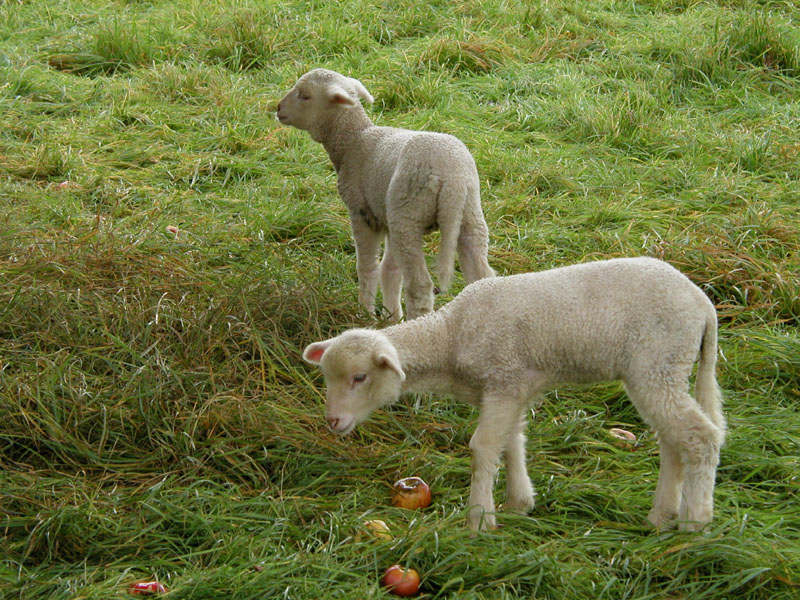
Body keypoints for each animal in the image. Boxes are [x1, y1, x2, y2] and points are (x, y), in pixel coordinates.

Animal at [280, 68, 494, 322]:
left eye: (305, 96)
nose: (278, 109)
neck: (353, 139)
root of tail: (452, 177)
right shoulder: (387, 215)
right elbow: (390, 270)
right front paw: (391, 316)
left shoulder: (363, 214)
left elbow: (368, 268)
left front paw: (366, 313)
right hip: (467, 214)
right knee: (481, 275)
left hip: (408, 215)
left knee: (419, 286)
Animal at [302, 258, 724, 536]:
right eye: (326, 377)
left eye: (360, 377)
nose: (333, 421)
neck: (450, 334)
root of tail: (703, 305)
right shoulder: (512, 386)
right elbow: (512, 442)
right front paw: (519, 503)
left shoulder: (503, 380)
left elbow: (484, 447)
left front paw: (479, 519)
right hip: (661, 371)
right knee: (672, 441)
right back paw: (661, 516)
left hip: (658, 363)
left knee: (700, 437)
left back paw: (696, 522)